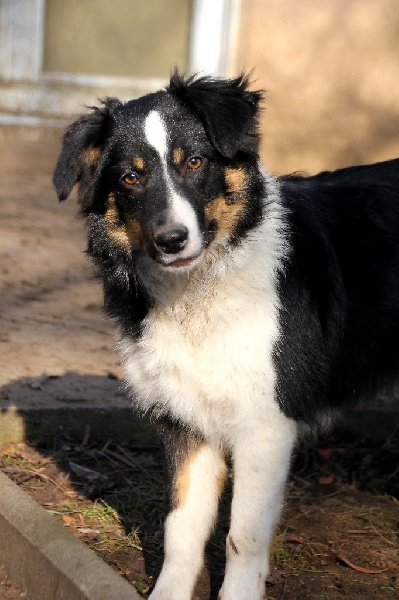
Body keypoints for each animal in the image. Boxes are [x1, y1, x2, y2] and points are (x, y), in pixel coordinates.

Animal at [53, 71, 399, 600]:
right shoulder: (185, 420)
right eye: (131, 177)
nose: (171, 240)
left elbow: (242, 536)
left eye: (195, 161)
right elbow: (181, 529)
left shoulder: (266, 425)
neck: (200, 290)